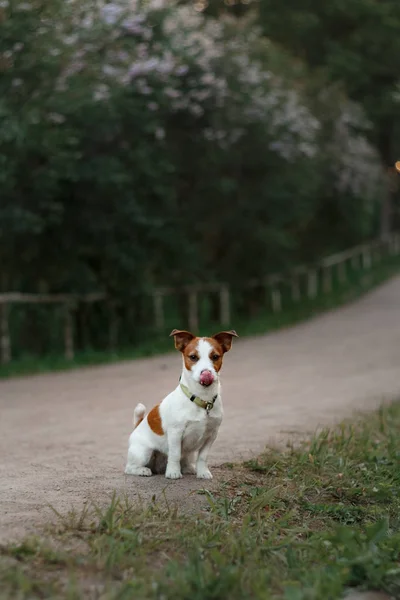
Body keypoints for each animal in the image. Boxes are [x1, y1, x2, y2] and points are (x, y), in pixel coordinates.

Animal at [125, 326, 238, 480]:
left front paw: (203, 472)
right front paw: (173, 472)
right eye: (193, 357)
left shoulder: (211, 435)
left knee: (185, 460)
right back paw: (142, 470)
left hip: (187, 454)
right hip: (144, 452)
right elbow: (175, 454)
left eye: (215, 357)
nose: (206, 373)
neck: (202, 399)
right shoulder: (175, 433)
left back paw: (189, 468)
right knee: (129, 467)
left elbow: (202, 457)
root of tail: (138, 425)